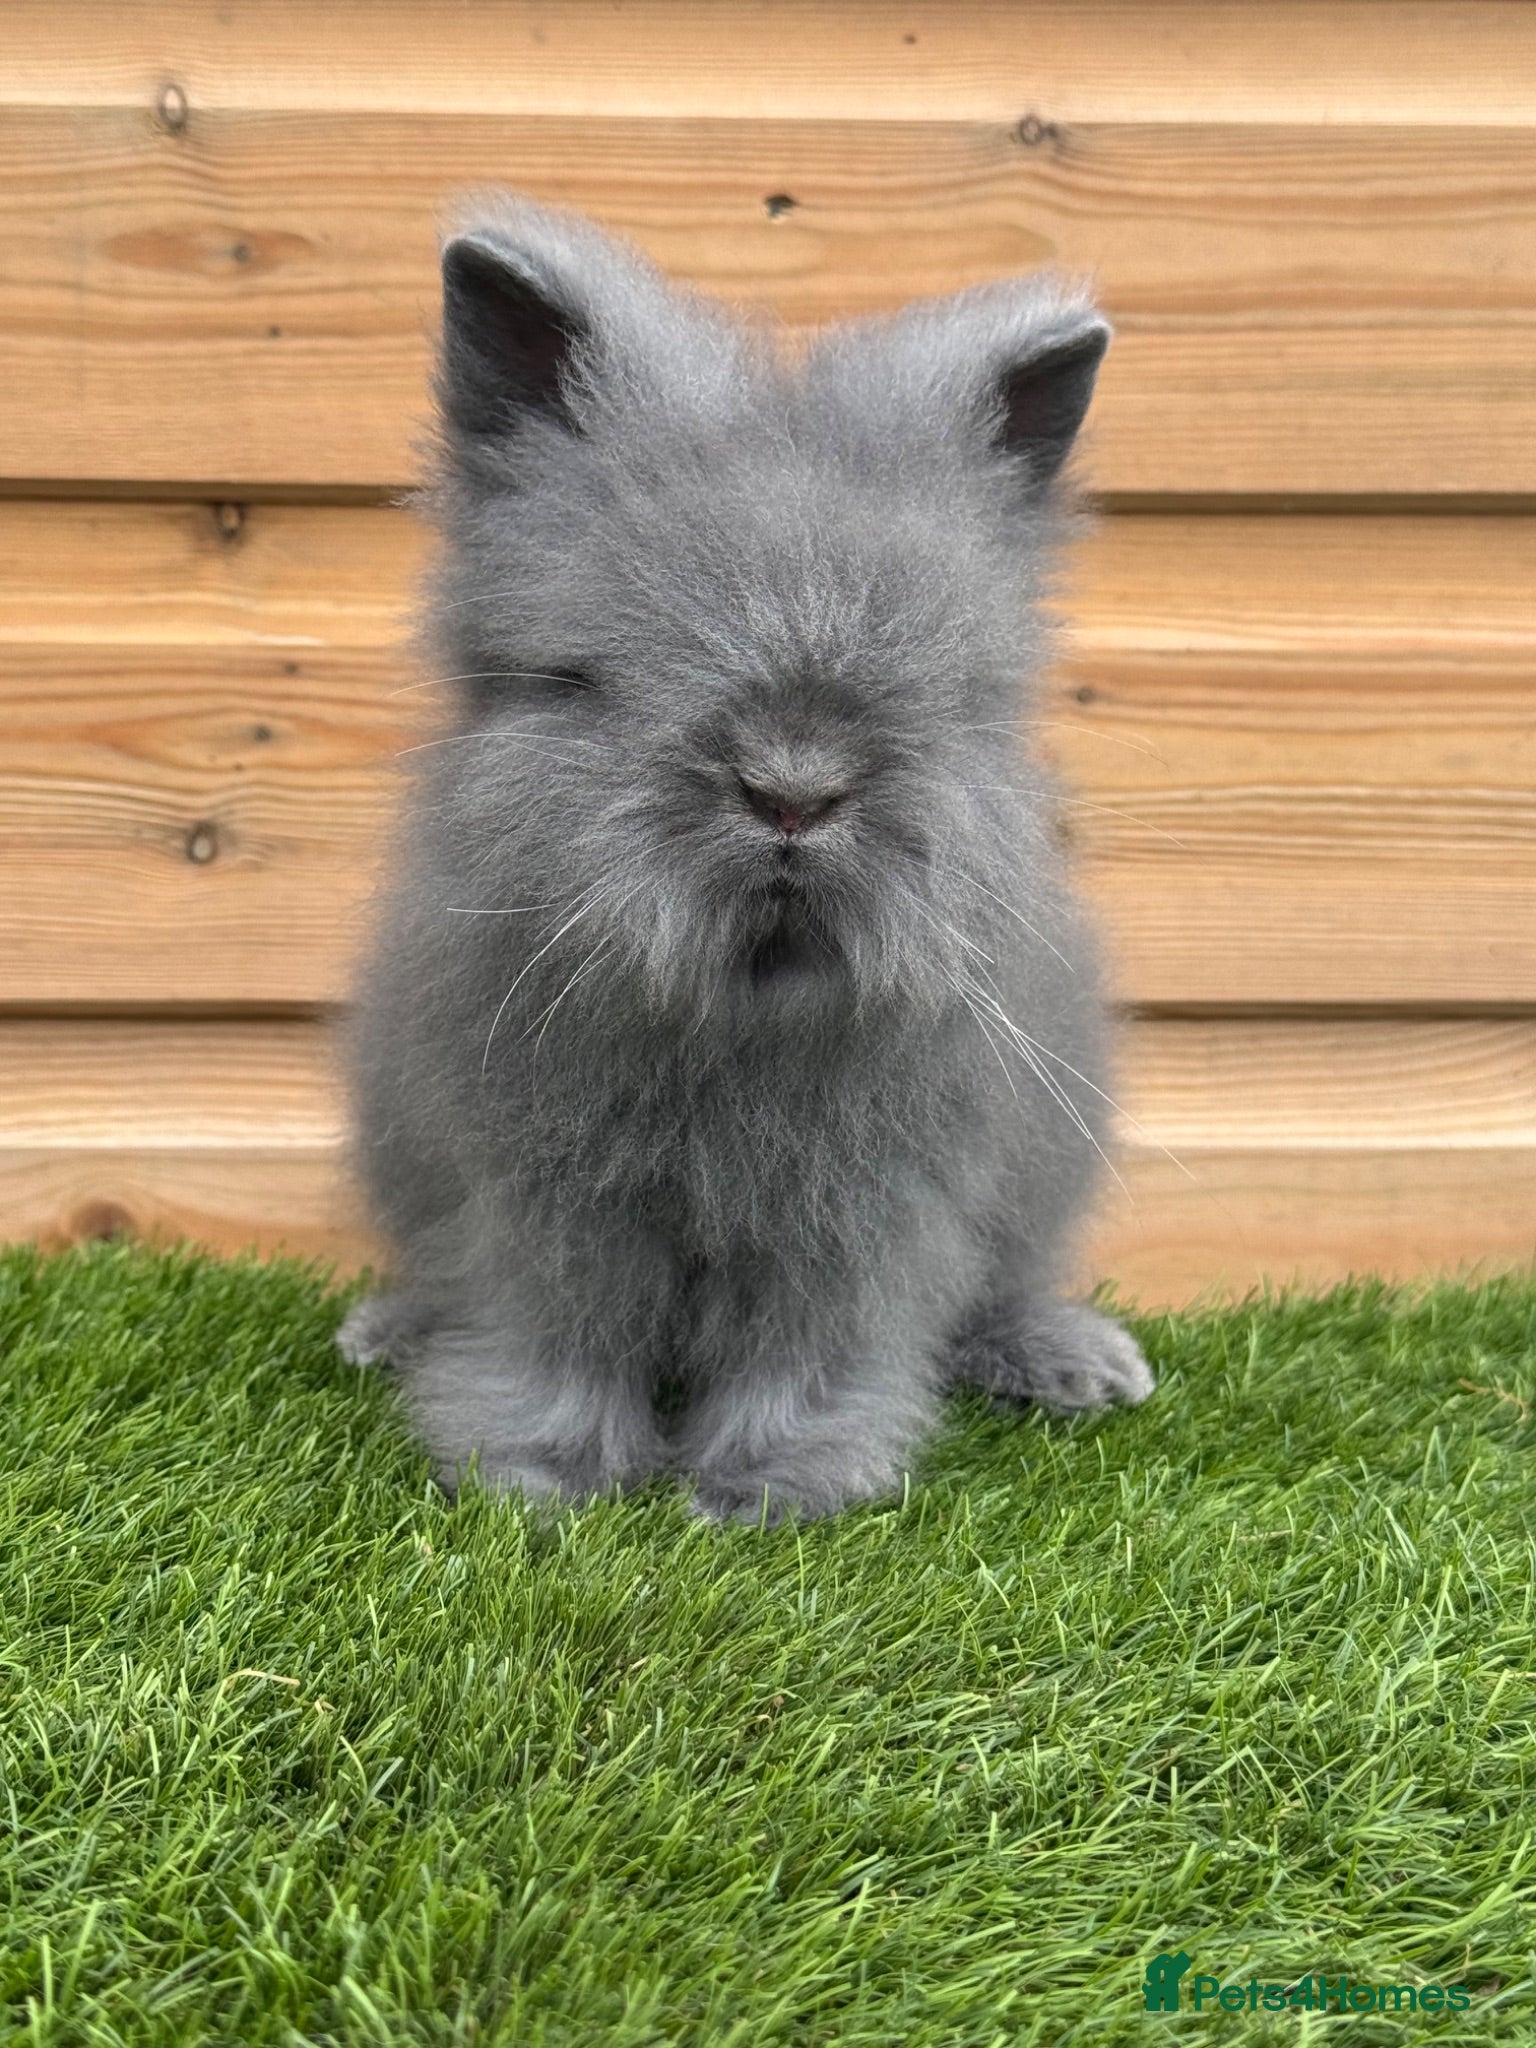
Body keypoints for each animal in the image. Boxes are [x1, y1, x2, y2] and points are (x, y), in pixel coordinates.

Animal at [336, 195, 1153, 1522]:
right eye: (586, 678)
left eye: (953, 694)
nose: (793, 789)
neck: (739, 1012)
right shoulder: (539, 1206)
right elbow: (557, 1334)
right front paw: (538, 1480)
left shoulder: (861, 1218)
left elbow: (807, 1346)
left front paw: (770, 1491)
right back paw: (385, 1331)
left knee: (1005, 1285)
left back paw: (1078, 1364)